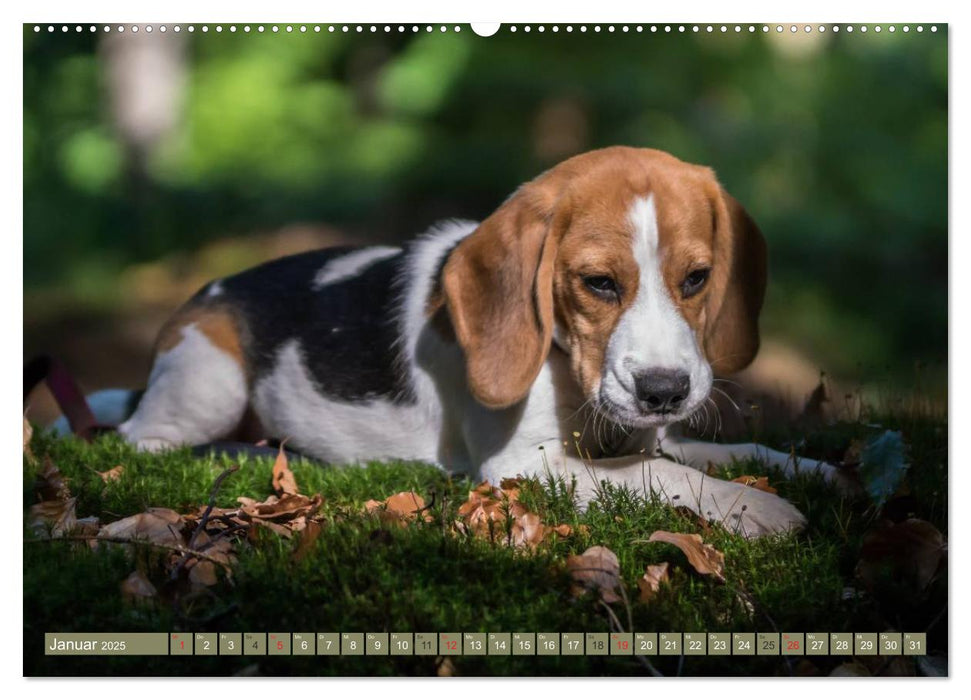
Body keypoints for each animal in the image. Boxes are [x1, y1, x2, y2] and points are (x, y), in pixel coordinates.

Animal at [106, 146, 836, 536]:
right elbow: (656, 472)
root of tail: (208, 291)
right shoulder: (525, 465)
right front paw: (760, 507)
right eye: (598, 283)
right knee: (144, 438)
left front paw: (817, 472)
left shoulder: (652, 434)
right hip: (207, 380)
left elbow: (726, 450)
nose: (665, 391)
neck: (565, 367)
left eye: (696, 278)